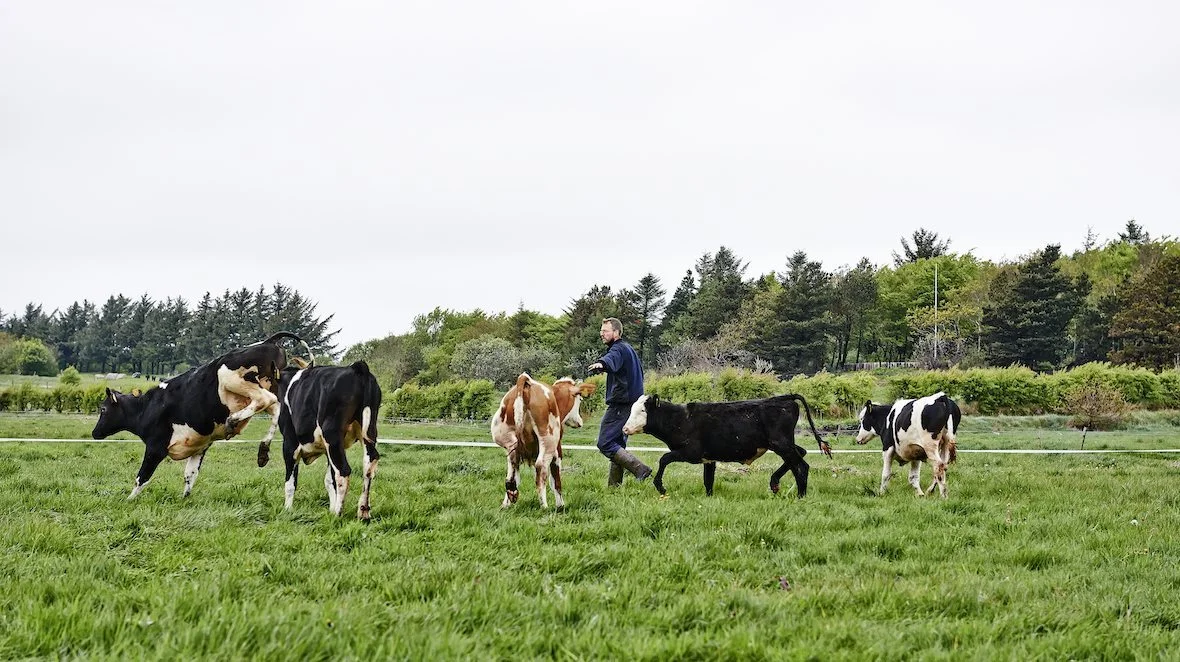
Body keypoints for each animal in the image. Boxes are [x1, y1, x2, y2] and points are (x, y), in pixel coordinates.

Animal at [92, 332, 311, 497]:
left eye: (103, 409)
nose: (94, 433)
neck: (148, 408)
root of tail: (268, 341)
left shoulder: (155, 447)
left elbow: (142, 477)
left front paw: (128, 500)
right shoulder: (199, 447)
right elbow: (190, 476)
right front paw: (184, 499)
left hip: (233, 379)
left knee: (265, 400)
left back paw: (233, 421)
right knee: (275, 409)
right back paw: (262, 452)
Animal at [258, 358, 382, 519]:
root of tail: (357, 368)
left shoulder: (290, 443)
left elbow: (290, 482)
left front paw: (287, 510)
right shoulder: (328, 449)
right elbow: (329, 480)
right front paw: (330, 508)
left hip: (332, 434)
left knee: (343, 471)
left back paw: (338, 513)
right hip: (367, 432)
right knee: (368, 465)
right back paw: (363, 512)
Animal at [490, 375, 599, 507]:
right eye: (580, 399)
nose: (580, 421)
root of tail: (526, 381)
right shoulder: (557, 450)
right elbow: (555, 480)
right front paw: (560, 505)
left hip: (509, 442)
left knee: (512, 467)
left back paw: (508, 501)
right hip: (548, 441)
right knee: (540, 466)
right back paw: (544, 506)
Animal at [618, 391, 830, 495]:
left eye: (643, 410)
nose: (625, 429)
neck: (681, 419)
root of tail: (783, 398)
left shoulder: (690, 453)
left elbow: (663, 459)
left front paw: (660, 487)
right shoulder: (708, 459)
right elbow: (708, 481)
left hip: (782, 444)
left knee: (801, 466)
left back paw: (800, 495)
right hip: (783, 444)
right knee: (800, 454)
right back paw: (775, 482)